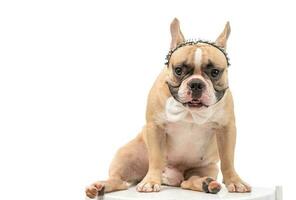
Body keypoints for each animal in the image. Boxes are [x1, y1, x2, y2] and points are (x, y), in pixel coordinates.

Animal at [85, 17, 250, 198]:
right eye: (178, 70)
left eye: (215, 72)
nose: (196, 83)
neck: (189, 112)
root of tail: (172, 178)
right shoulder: (155, 127)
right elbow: (156, 158)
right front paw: (151, 182)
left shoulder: (226, 129)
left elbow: (228, 159)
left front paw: (234, 181)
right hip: (127, 155)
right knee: (120, 180)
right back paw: (100, 186)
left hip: (206, 168)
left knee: (188, 182)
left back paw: (207, 184)